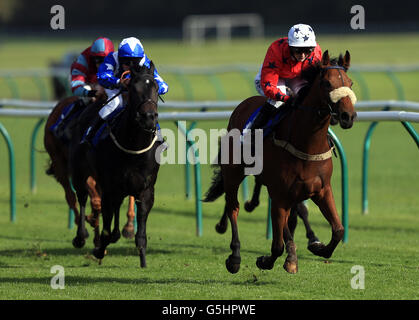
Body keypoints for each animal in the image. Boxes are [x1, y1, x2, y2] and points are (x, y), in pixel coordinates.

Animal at [69, 61, 161, 266]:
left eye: (156, 87)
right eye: (134, 88)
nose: (148, 117)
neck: (133, 147)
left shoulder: (146, 190)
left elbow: (140, 233)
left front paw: (143, 260)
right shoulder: (108, 187)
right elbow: (105, 225)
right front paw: (99, 250)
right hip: (80, 172)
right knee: (82, 197)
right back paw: (81, 237)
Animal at [203, 51, 358, 274]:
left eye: (350, 82)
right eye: (327, 83)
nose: (348, 116)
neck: (307, 144)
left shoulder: (321, 190)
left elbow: (338, 230)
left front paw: (317, 247)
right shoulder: (280, 193)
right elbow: (277, 245)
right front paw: (265, 260)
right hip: (234, 173)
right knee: (233, 207)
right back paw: (235, 256)